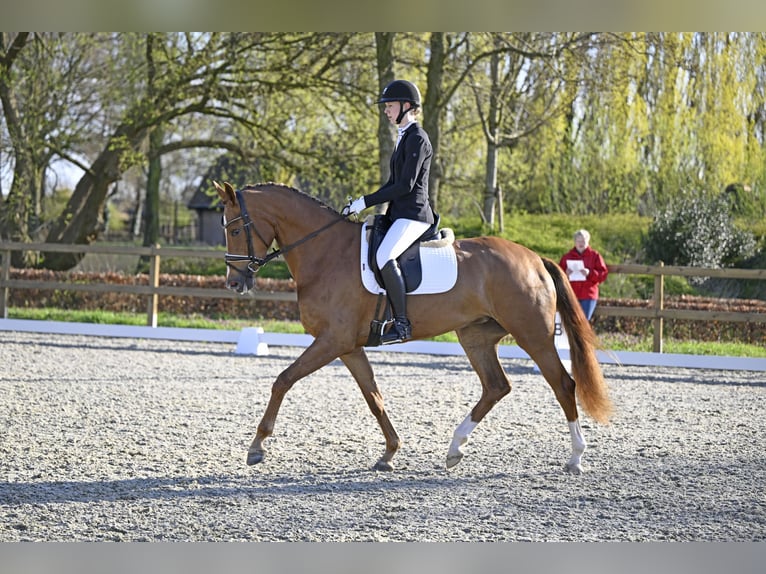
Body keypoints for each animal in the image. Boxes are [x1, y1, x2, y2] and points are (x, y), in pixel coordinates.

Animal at [214, 182, 612, 474]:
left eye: (233, 228)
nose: (234, 283)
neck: (325, 252)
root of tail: (534, 258)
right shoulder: (348, 346)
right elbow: (374, 398)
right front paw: (390, 452)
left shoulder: (331, 340)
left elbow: (283, 380)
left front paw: (257, 446)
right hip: (475, 335)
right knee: (496, 386)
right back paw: (454, 449)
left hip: (533, 334)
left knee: (563, 384)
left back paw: (575, 458)